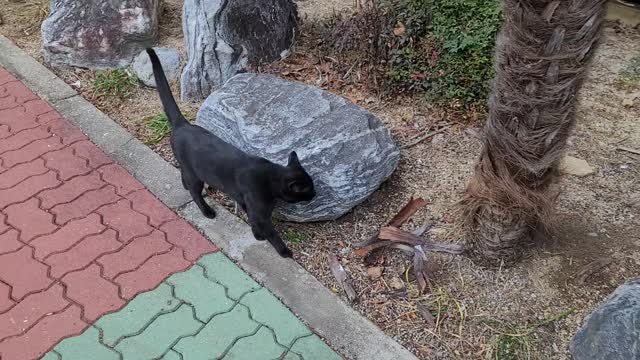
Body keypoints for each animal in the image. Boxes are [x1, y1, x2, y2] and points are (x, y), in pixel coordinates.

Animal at [146, 47, 316, 258]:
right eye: (308, 189)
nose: (315, 193)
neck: (270, 177)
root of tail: (182, 124)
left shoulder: (246, 203)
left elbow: (251, 219)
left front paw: (257, 235)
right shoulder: (259, 210)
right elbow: (270, 231)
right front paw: (283, 250)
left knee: (184, 177)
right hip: (195, 175)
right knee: (195, 192)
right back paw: (207, 211)